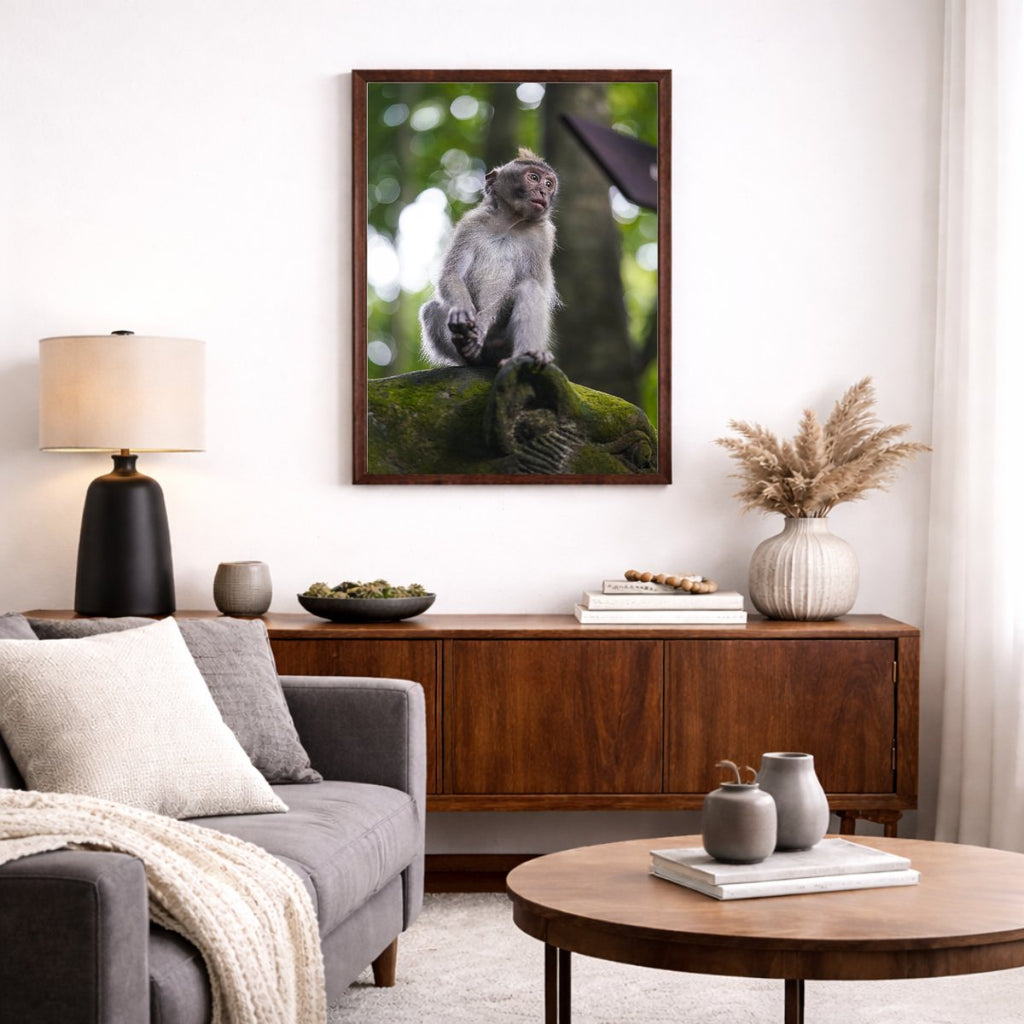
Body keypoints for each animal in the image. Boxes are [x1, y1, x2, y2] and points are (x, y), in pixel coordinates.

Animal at [419, 148, 558, 368]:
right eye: (534, 178)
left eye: (548, 184)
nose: (543, 192)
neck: (509, 224)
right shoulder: (470, 224)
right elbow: (451, 275)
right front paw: (462, 311)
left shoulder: (543, 238)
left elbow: (531, 282)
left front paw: (483, 323)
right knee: (430, 310)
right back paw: (468, 354)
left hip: (503, 343)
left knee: (529, 288)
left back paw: (528, 354)